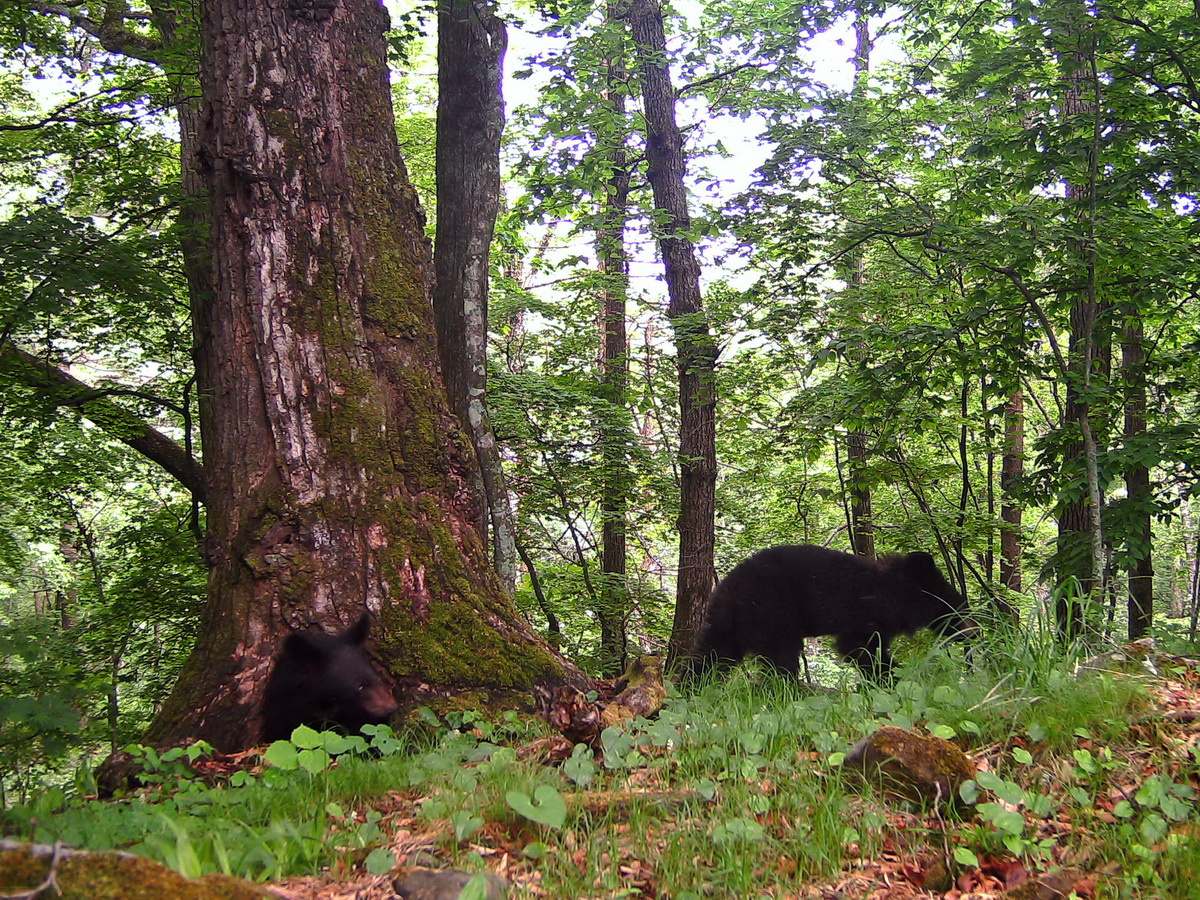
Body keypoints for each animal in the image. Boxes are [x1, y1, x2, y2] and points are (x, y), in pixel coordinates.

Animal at [691, 542, 969, 681]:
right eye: (955, 607)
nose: (972, 631)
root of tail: (725, 589)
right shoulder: (868, 615)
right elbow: (860, 647)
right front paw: (892, 676)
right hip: (771, 612)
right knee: (782, 655)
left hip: (729, 625)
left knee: (711, 655)